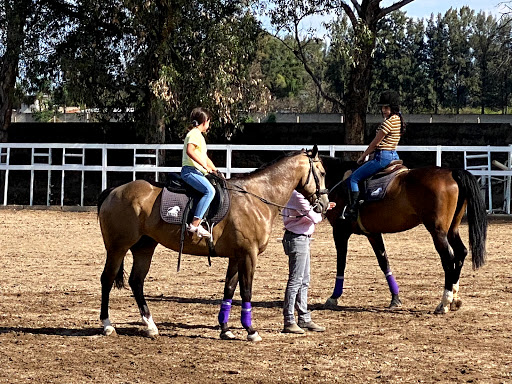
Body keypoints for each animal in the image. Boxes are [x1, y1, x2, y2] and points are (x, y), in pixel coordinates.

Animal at [96, 146, 330, 340]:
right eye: (322, 173)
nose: (325, 204)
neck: (256, 197)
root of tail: (114, 191)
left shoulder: (236, 256)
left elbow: (229, 290)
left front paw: (225, 329)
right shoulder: (248, 255)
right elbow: (246, 291)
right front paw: (251, 331)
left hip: (144, 247)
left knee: (136, 282)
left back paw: (151, 326)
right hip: (117, 248)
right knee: (107, 279)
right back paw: (107, 324)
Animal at [322, 156, 486, 316]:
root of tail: (451, 172)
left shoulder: (340, 231)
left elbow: (341, 264)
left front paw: (333, 297)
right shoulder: (372, 233)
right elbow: (384, 262)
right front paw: (395, 298)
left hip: (438, 232)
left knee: (448, 259)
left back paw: (444, 303)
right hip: (452, 230)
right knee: (461, 253)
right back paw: (454, 299)